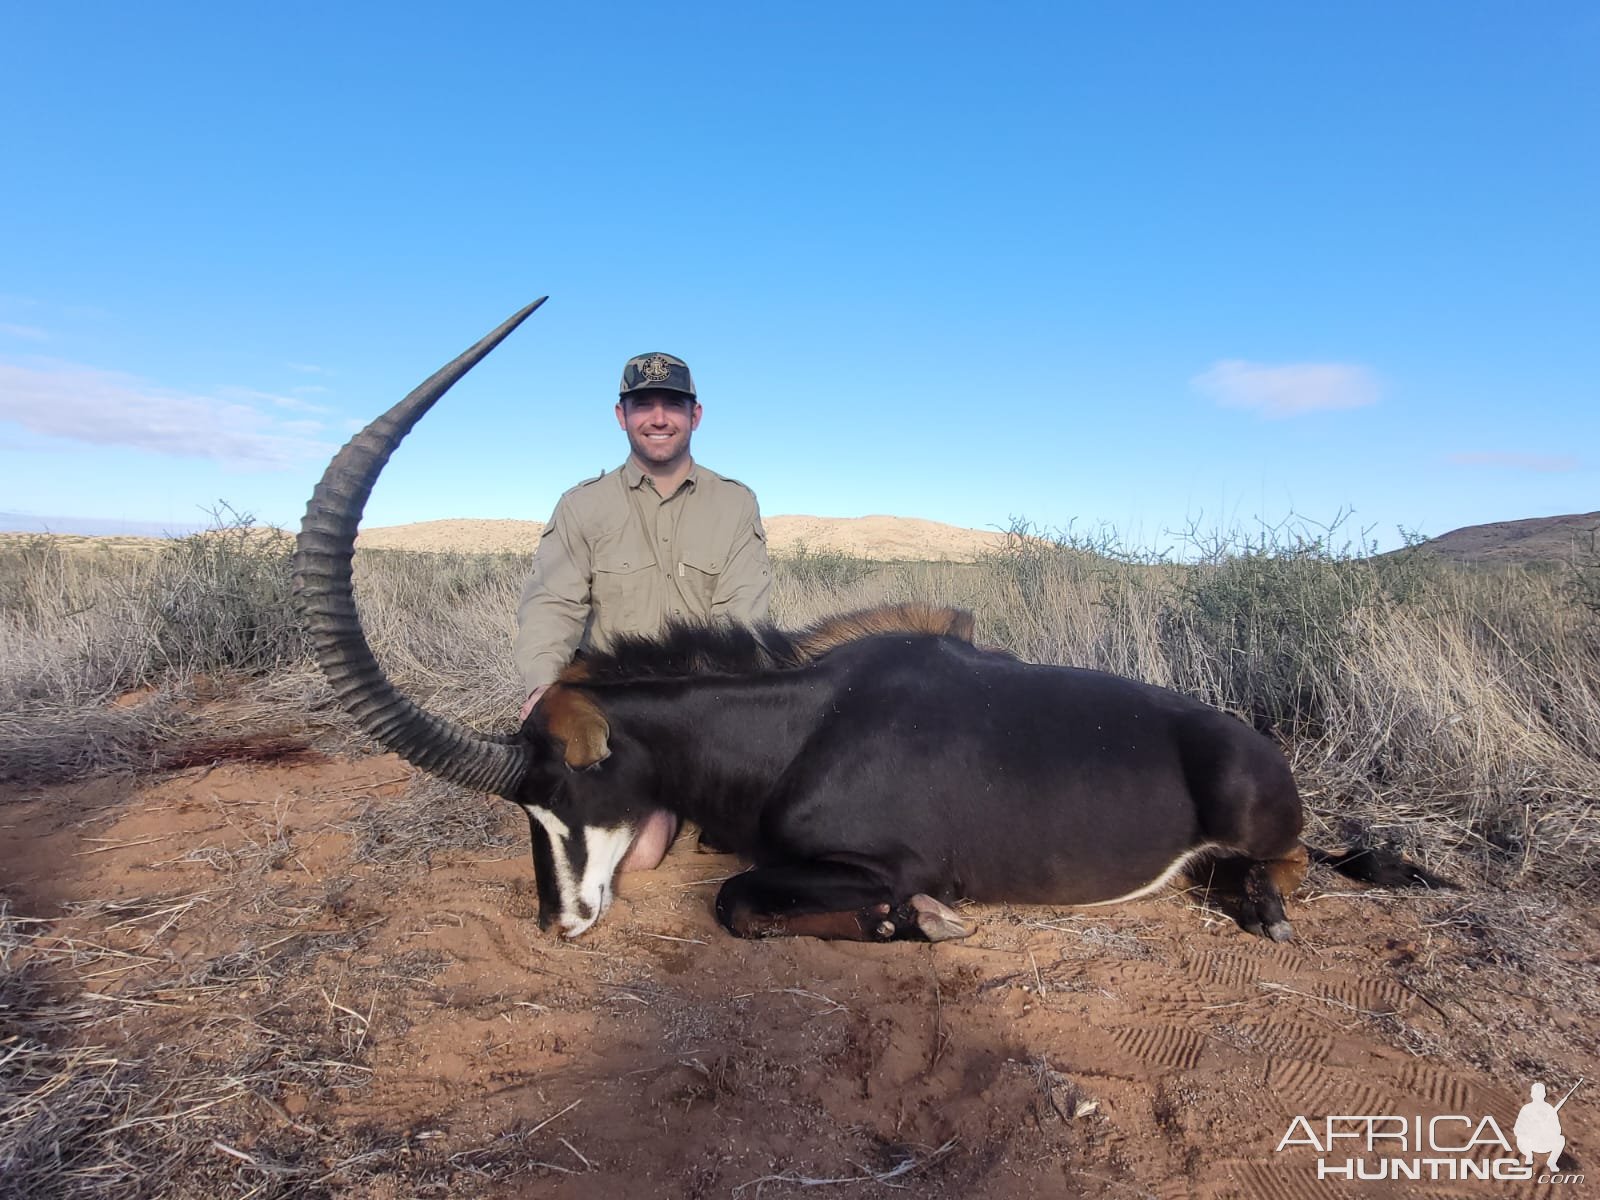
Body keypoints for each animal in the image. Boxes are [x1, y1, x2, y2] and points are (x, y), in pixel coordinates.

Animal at [294, 305, 1446, 947]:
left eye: (566, 792)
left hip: (1258, 817)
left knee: (1287, 866)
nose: (558, 923)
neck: (799, 725)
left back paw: (1264, 906)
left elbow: (739, 900)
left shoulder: (883, 861)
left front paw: (918, 922)